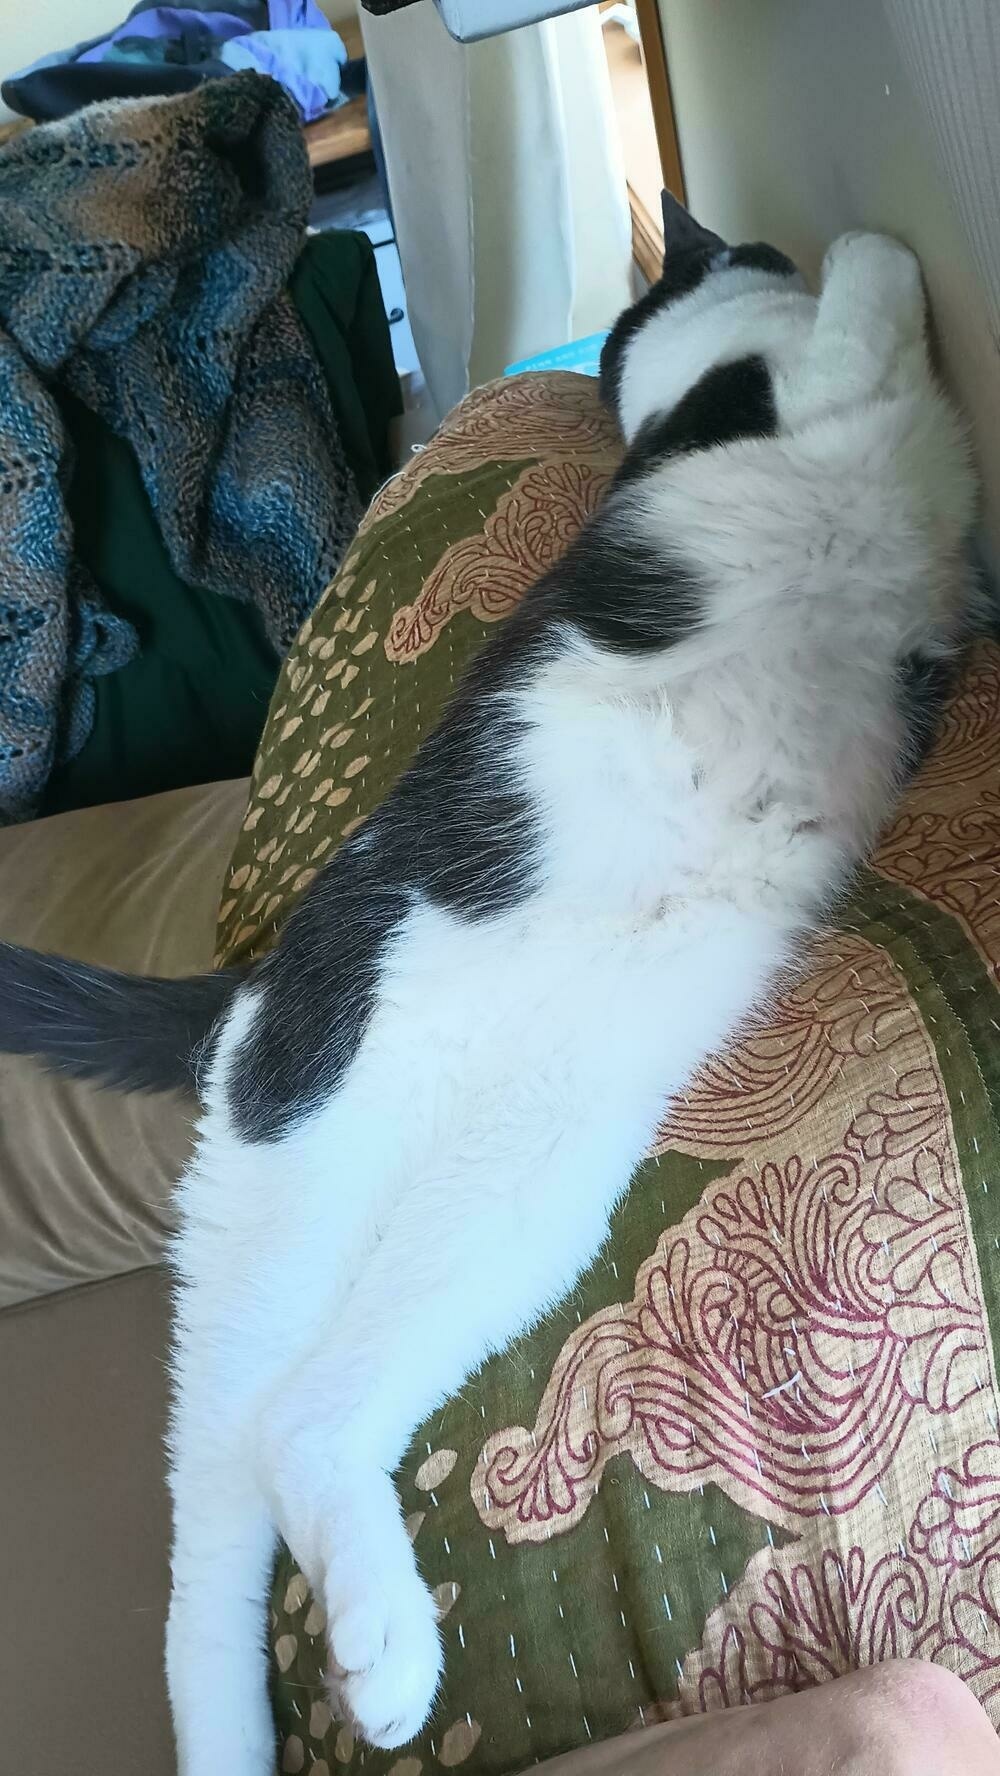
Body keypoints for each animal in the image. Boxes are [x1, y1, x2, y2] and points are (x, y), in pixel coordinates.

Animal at [0, 214, 973, 1768]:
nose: (752, 244)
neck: (673, 393)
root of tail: (250, 991)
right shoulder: (828, 394)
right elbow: (874, 283)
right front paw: (857, 254)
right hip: (355, 1197)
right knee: (270, 1451)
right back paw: (389, 1660)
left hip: (478, 1211)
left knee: (243, 1486)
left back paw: (323, 1671)